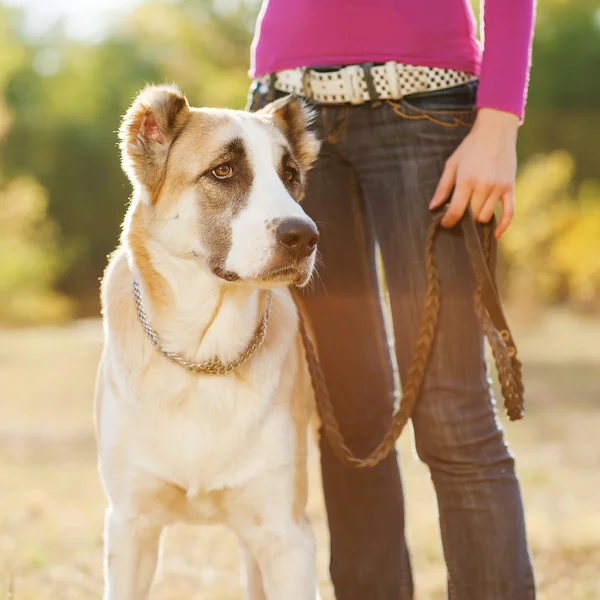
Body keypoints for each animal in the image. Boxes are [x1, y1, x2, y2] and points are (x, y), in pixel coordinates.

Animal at [95, 85, 324, 600]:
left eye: (290, 176)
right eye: (223, 171)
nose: (305, 236)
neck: (203, 358)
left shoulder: (287, 537)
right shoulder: (130, 529)